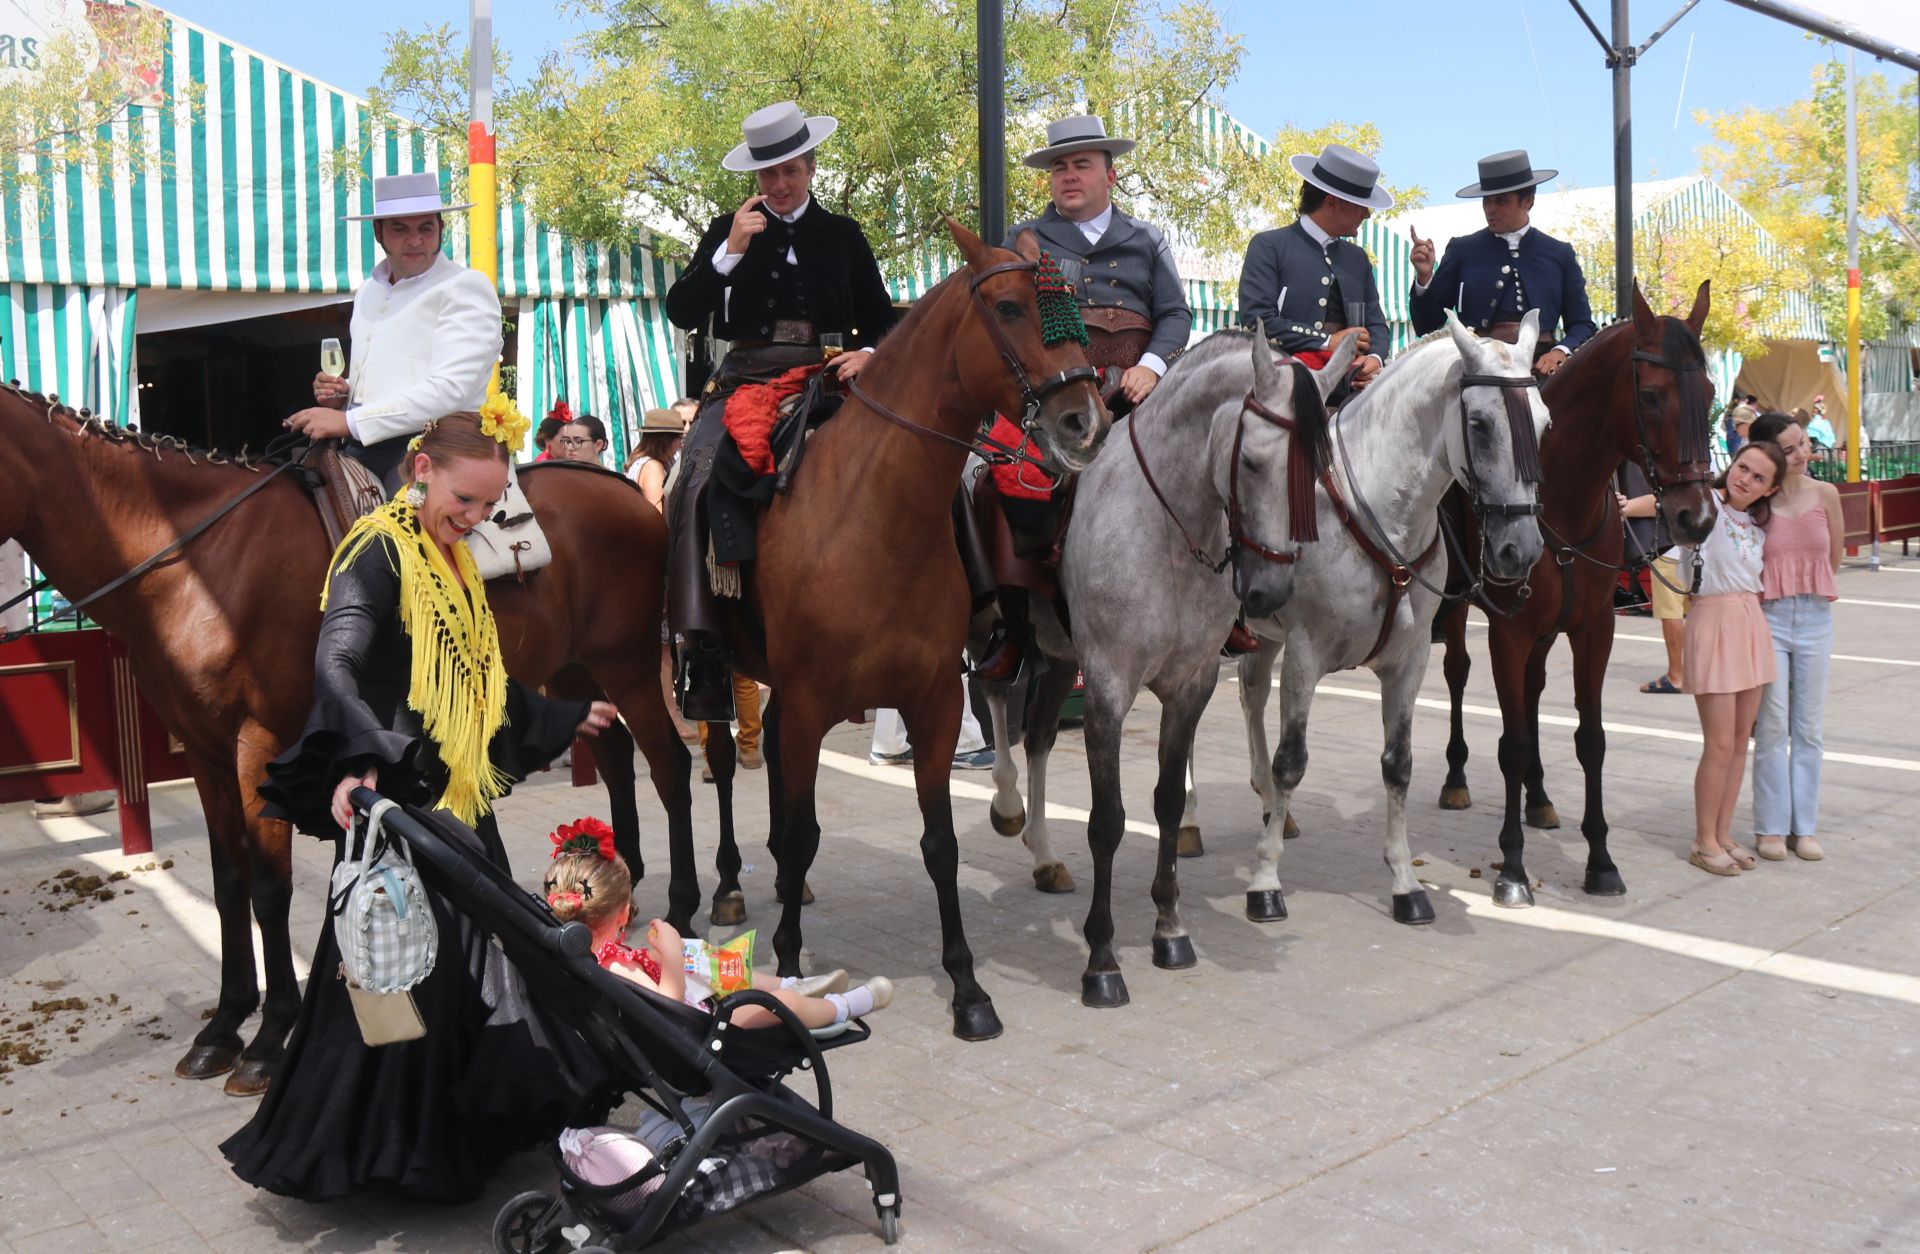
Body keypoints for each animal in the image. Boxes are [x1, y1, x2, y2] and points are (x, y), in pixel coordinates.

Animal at [0, 395, 691, 1090]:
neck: (200, 565)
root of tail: (622, 489)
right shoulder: (204, 750)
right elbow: (227, 882)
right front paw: (223, 1025)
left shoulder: (257, 745)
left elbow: (269, 888)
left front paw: (268, 1038)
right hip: (577, 670)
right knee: (615, 757)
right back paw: (619, 893)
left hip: (629, 664)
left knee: (670, 765)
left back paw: (690, 904)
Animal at [706, 222, 1105, 1036]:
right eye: (1011, 308)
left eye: (1075, 307)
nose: (1086, 420)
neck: (870, 517)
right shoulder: (813, 702)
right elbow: (805, 831)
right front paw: (788, 964)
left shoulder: (934, 701)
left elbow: (939, 842)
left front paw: (968, 989)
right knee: (721, 765)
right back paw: (730, 883)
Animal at [975, 324, 1351, 1006]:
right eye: (1253, 463)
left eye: (1316, 471)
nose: (1270, 592)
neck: (1166, 530)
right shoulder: (1106, 688)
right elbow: (1107, 821)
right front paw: (1101, 961)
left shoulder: (1189, 686)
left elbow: (1170, 804)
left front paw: (1170, 930)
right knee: (990, 691)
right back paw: (1007, 802)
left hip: (1056, 657)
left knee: (1038, 735)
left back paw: (1042, 853)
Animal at [1182, 311, 1559, 917]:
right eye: (1479, 424)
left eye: (1545, 425)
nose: (1519, 550)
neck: (1382, 514)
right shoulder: (1306, 655)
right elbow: (1293, 760)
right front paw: (1265, 880)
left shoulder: (1409, 662)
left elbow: (1397, 764)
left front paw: (1405, 882)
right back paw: (1191, 821)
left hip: (1263, 634)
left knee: (1251, 691)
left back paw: (1269, 806)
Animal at [1436, 280, 1720, 906]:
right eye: (1653, 395)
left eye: (1711, 391)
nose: (1696, 517)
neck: (1560, 499)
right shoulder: (1508, 630)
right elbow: (1513, 743)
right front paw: (1513, 868)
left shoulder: (1594, 628)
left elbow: (1591, 739)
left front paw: (1601, 861)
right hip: (1455, 607)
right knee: (1457, 674)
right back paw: (1456, 778)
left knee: (1535, 689)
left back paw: (1540, 798)